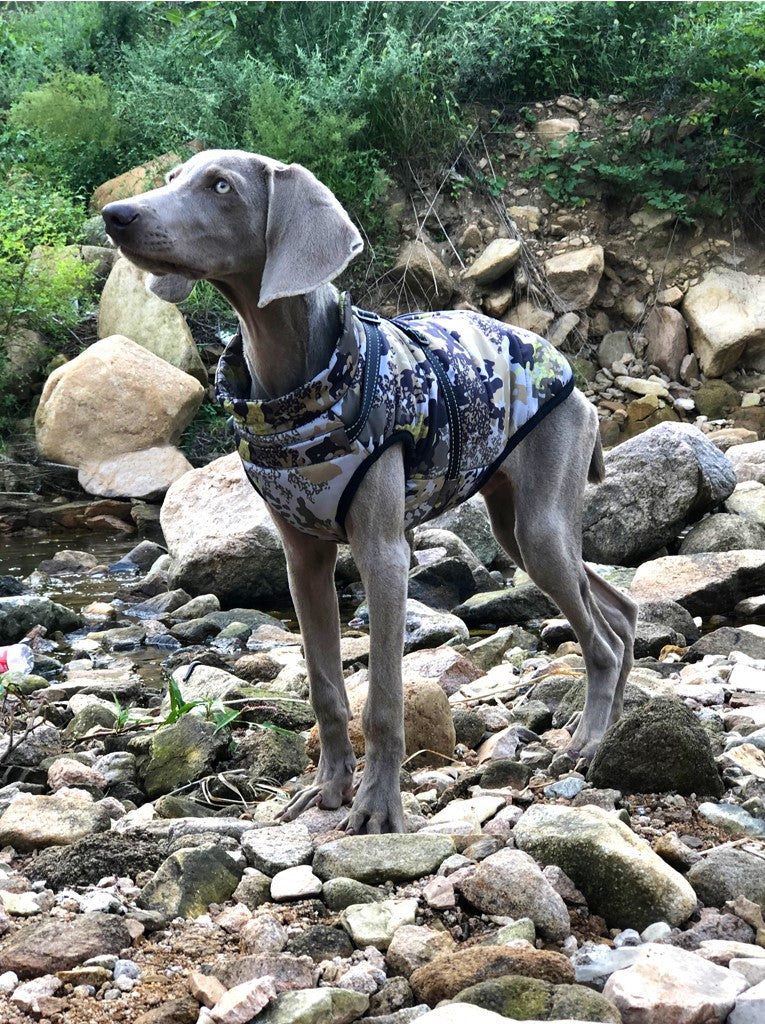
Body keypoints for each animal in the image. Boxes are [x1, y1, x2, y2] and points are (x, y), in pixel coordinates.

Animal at [103, 153, 639, 839]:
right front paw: (326, 790)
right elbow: (326, 688)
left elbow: (382, 699)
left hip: (542, 522)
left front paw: (378, 808)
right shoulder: (302, 558)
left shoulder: (384, 552)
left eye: (221, 185)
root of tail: (570, 376)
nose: (115, 215)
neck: (296, 394)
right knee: (619, 611)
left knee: (600, 641)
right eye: (173, 177)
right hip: (519, 527)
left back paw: (588, 742)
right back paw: (609, 729)